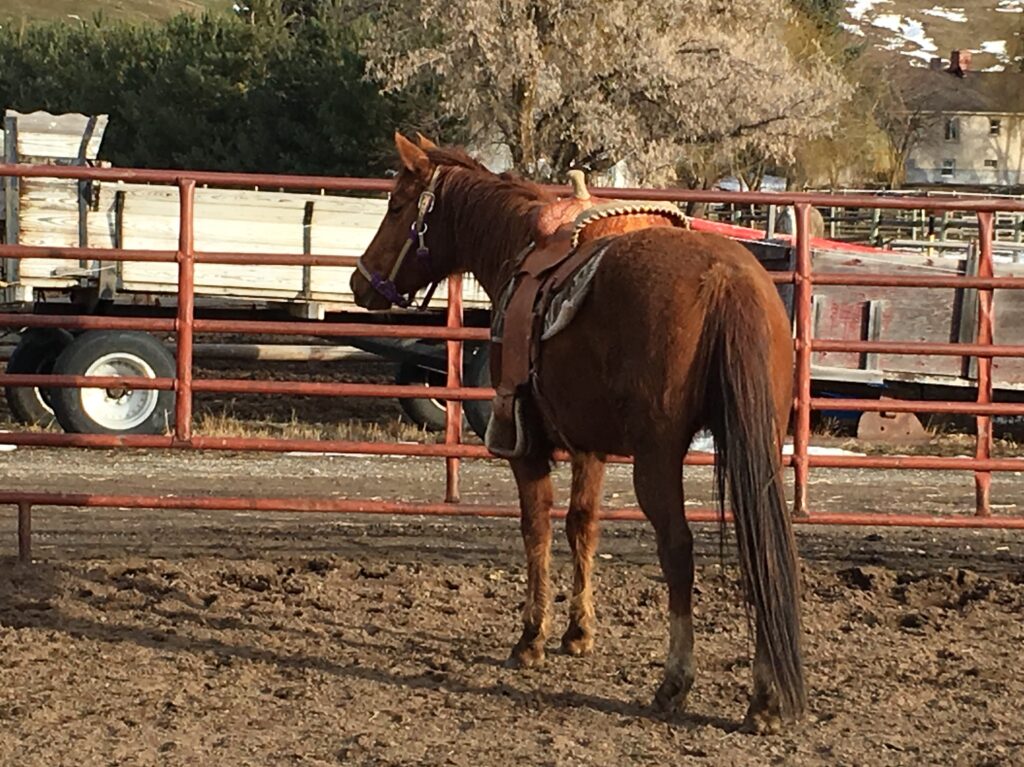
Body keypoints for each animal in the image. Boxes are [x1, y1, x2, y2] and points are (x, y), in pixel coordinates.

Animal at [351, 133, 805, 733]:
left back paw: (675, 682)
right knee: (766, 552)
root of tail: (727, 279)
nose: (359, 282)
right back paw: (765, 698)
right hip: (760, 446)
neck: (519, 248)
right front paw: (578, 633)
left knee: (678, 550)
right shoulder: (591, 449)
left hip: (658, 457)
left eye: (397, 206)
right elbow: (582, 527)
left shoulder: (526, 446)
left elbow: (538, 528)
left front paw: (531, 639)